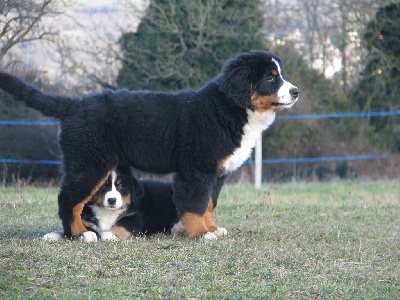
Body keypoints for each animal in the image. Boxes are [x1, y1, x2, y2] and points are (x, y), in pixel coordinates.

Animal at [42, 165, 178, 243]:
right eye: (103, 185)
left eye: (121, 186)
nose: (112, 200)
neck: (107, 211)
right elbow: (74, 230)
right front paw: (54, 235)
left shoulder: (133, 217)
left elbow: (120, 226)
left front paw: (109, 234)